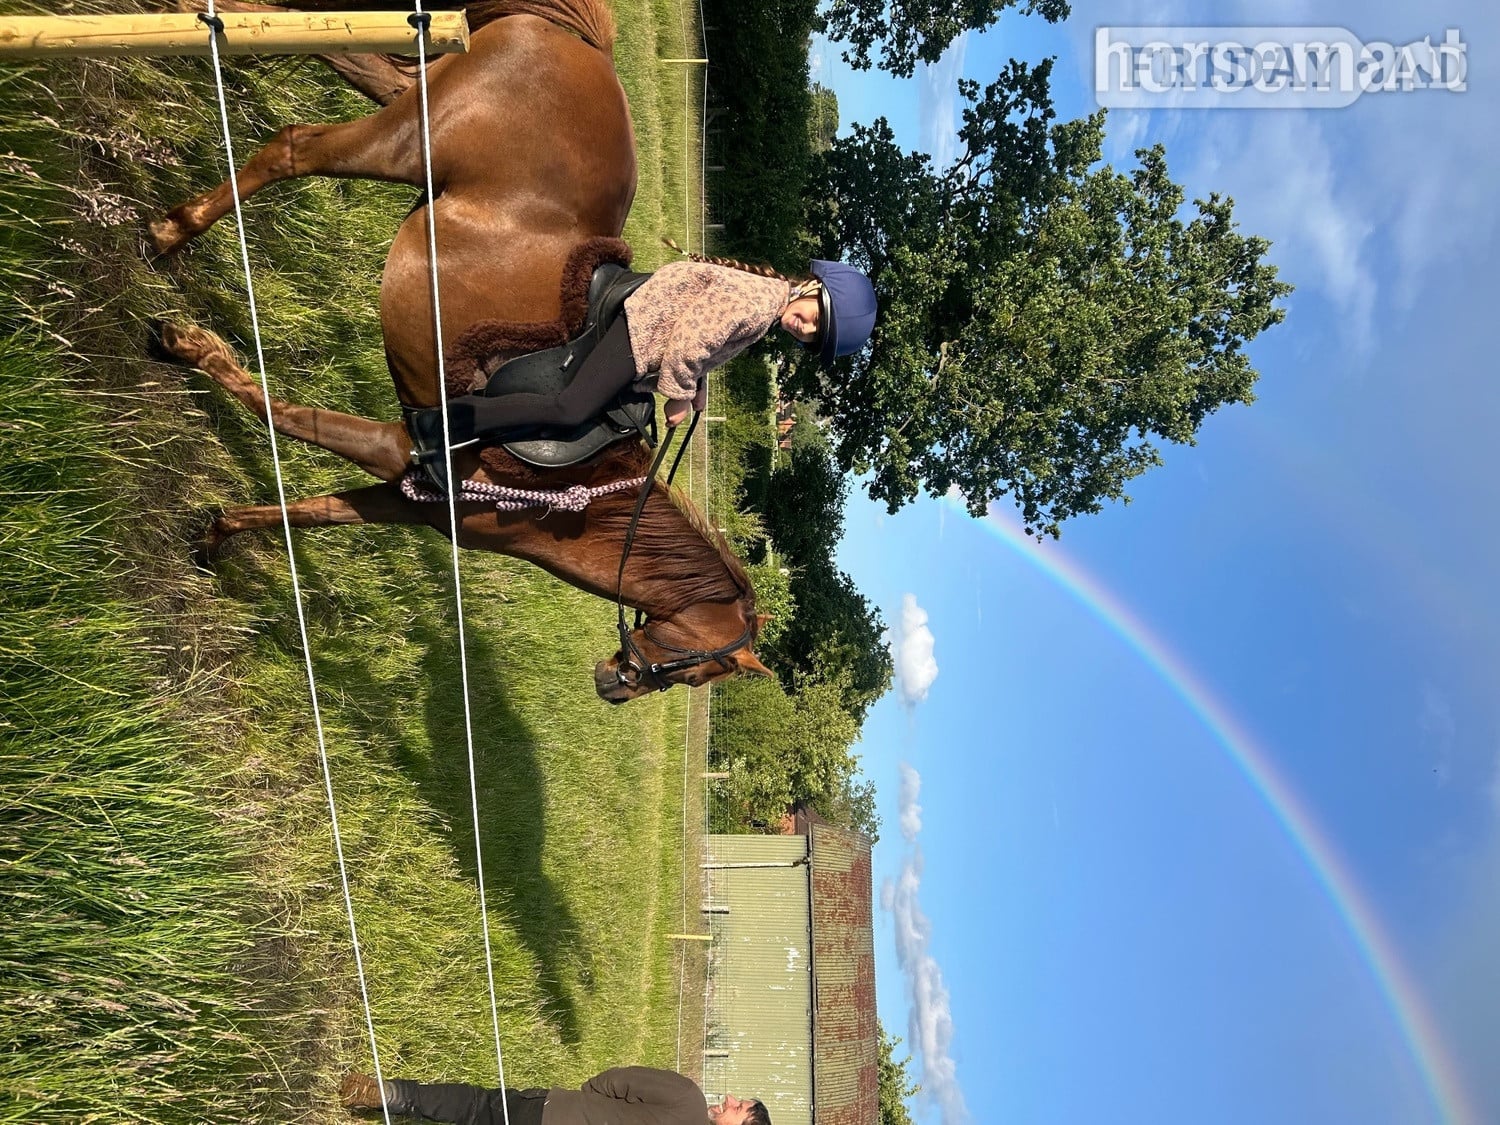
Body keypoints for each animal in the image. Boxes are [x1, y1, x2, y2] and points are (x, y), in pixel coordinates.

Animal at [148, 0, 771, 704]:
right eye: (693, 666)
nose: (615, 684)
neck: (584, 494)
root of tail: (583, 47)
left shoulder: (404, 497)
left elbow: (303, 513)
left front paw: (214, 537)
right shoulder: (395, 444)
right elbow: (280, 414)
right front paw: (190, 347)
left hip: (409, 98)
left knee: (326, 46)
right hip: (400, 145)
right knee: (293, 146)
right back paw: (170, 232)